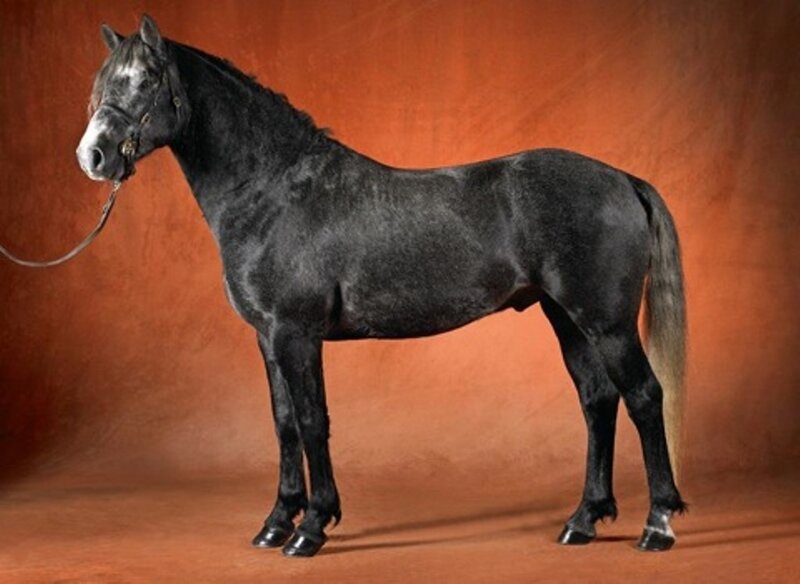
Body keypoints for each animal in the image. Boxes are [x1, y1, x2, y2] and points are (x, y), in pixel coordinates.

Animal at [76, 15, 687, 557]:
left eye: (146, 79)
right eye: (103, 84)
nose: (93, 156)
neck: (274, 190)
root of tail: (622, 179)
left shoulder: (296, 333)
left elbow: (312, 421)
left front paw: (310, 528)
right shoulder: (267, 338)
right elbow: (283, 424)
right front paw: (275, 523)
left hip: (606, 322)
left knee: (643, 396)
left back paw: (657, 524)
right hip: (566, 317)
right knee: (597, 400)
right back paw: (582, 520)